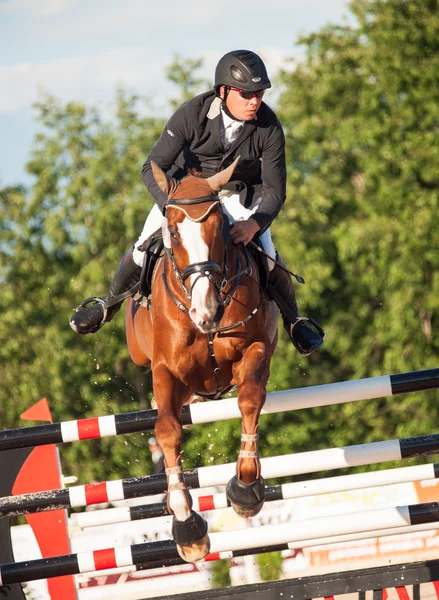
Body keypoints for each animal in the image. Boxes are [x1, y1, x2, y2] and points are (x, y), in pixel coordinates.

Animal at [125, 158, 280, 564]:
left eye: (220, 228)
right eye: (173, 234)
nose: (204, 312)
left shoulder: (255, 349)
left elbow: (250, 399)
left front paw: (246, 489)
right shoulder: (166, 370)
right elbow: (167, 430)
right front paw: (187, 526)